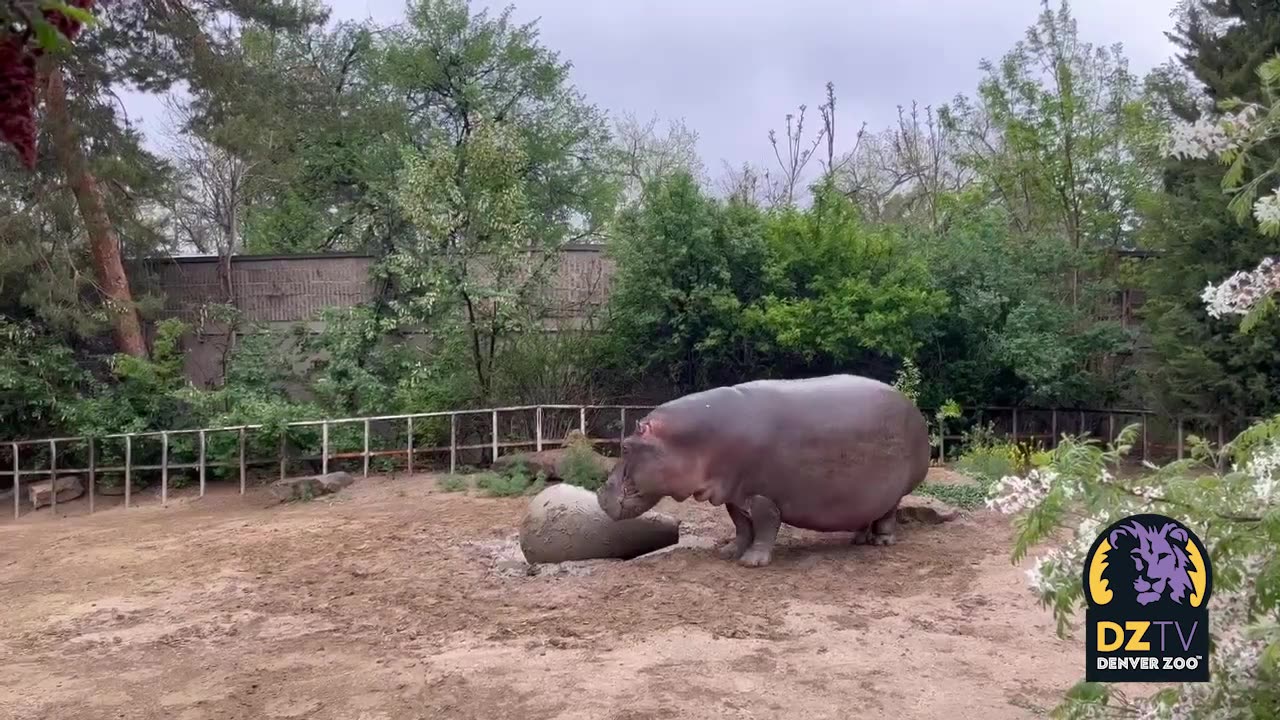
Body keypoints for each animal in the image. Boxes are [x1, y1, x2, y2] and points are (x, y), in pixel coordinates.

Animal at [593, 371, 936, 563]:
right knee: (868, 514)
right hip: (864, 493)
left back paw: (881, 542)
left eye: (626, 446)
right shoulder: (733, 494)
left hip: (894, 492)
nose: (598, 493)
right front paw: (729, 553)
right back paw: (858, 540)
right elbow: (741, 526)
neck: (693, 441)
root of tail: (913, 408)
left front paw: (752, 562)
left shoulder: (762, 496)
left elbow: (766, 526)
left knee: (888, 514)